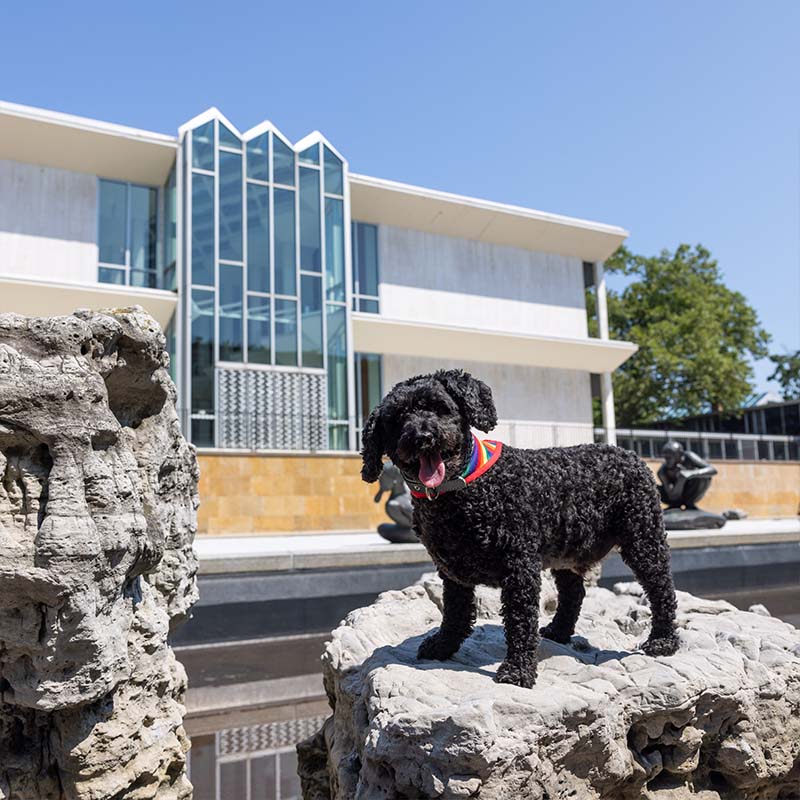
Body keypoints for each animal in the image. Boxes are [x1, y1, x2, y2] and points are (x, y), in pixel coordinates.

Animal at [362, 368, 680, 688]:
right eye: (398, 418)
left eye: (440, 407)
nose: (423, 437)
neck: (465, 489)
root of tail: (631, 455)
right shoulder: (452, 572)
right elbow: (455, 614)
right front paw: (442, 646)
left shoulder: (519, 567)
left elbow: (520, 621)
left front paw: (517, 670)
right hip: (567, 551)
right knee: (574, 593)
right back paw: (559, 631)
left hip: (643, 539)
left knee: (662, 589)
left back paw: (663, 641)